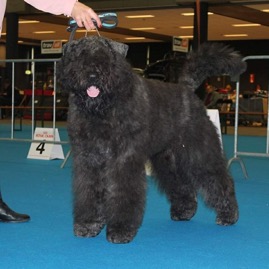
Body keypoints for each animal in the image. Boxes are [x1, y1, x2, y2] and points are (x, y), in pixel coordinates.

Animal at [57, 36, 246, 244]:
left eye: (106, 56)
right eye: (79, 56)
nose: (92, 75)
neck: (103, 110)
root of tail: (186, 89)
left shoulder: (124, 159)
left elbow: (122, 192)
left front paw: (120, 230)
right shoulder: (89, 159)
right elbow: (89, 191)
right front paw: (88, 224)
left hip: (198, 151)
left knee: (218, 179)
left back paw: (228, 214)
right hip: (168, 158)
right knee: (180, 183)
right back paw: (184, 210)